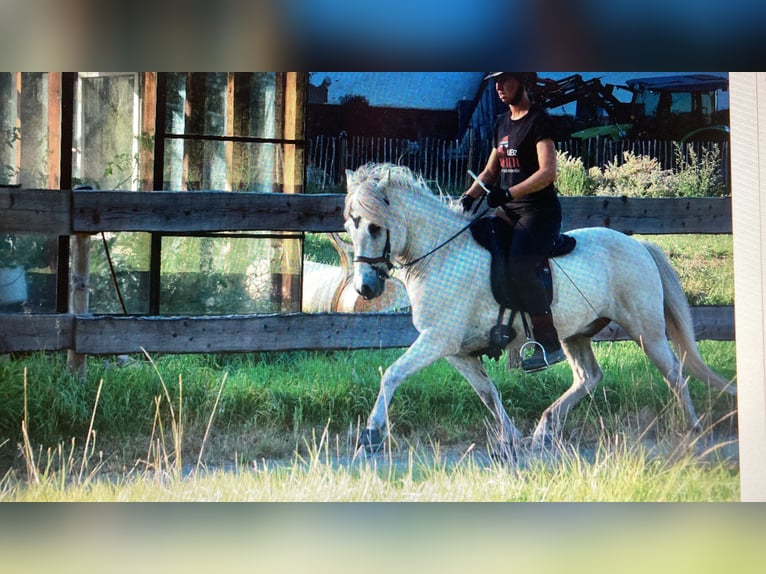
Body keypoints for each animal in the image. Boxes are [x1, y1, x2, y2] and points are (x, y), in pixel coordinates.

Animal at [344, 163, 736, 454]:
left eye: (376, 227)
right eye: (350, 224)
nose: (365, 288)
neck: (442, 255)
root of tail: (640, 246)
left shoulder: (438, 340)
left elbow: (392, 373)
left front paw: (371, 434)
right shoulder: (456, 351)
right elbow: (488, 393)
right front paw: (510, 438)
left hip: (647, 333)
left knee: (675, 374)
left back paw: (694, 431)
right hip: (575, 335)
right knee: (589, 378)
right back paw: (544, 430)